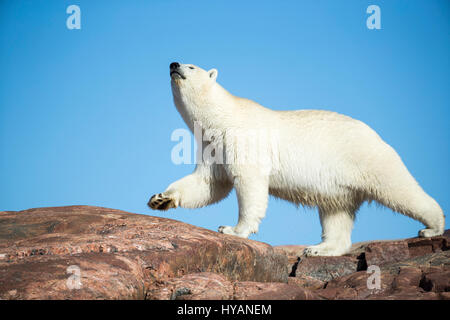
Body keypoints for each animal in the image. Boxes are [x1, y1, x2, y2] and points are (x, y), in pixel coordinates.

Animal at [149, 62, 446, 258]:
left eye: (192, 66)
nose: (174, 64)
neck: (223, 118)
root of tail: (378, 136)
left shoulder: (244, 140)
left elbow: (248, 184)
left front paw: (232, 229)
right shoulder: (213, 147)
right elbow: (208, 184)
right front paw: (160, 199)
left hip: (367, 158)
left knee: (400, 189)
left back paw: (432, 228)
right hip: (339, 184)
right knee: (336, 213)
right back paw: (319, 248)